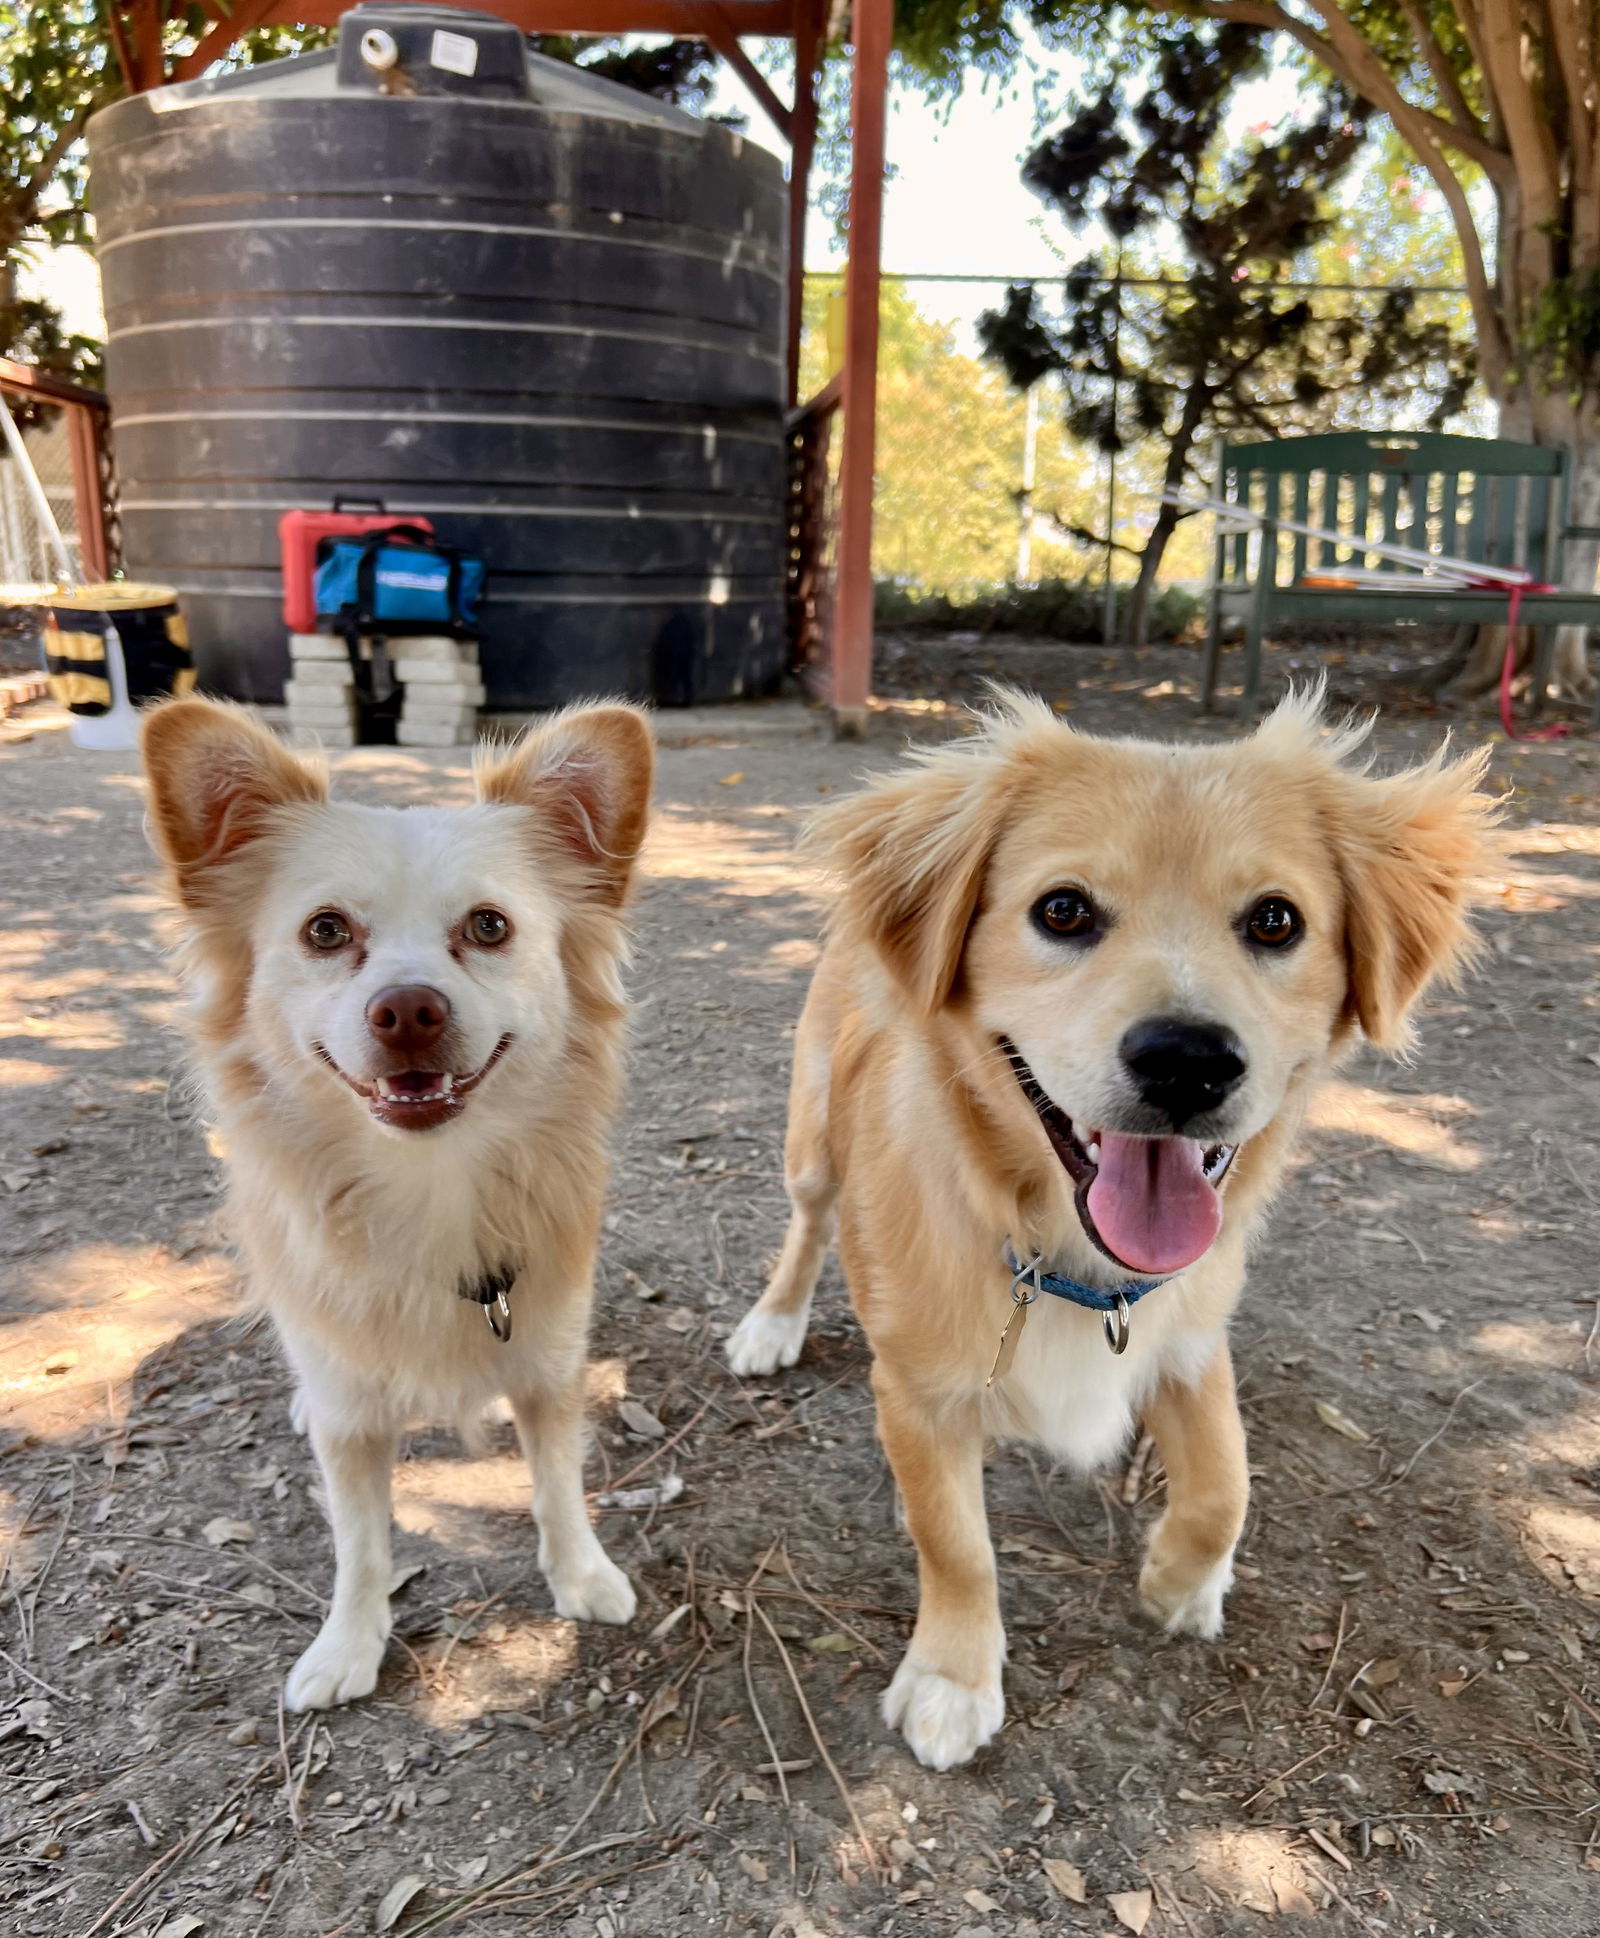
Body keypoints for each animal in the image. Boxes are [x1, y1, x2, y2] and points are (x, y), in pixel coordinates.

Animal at [143, 697, 650, 1713]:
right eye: (325, 932)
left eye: (489, 927)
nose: (408, 1009)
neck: (428, 1187)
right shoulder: (350, 1419)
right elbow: (360, 1541)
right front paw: (347, 1645)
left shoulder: (548, 1367)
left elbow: (557, 1486)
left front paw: (583, 1576)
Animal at [728, 689, 1487, 1767]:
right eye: (1062, 910)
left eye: (1275, 920)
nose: (1187, 1060)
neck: (1065, 1256)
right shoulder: (916, 1391)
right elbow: (955, 1544)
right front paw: (954, 1676)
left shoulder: (1188, 1338)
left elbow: (1226, 1482)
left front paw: (1182, 1579)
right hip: (812, 1142)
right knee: (806, 1228)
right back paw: (772, 1324)